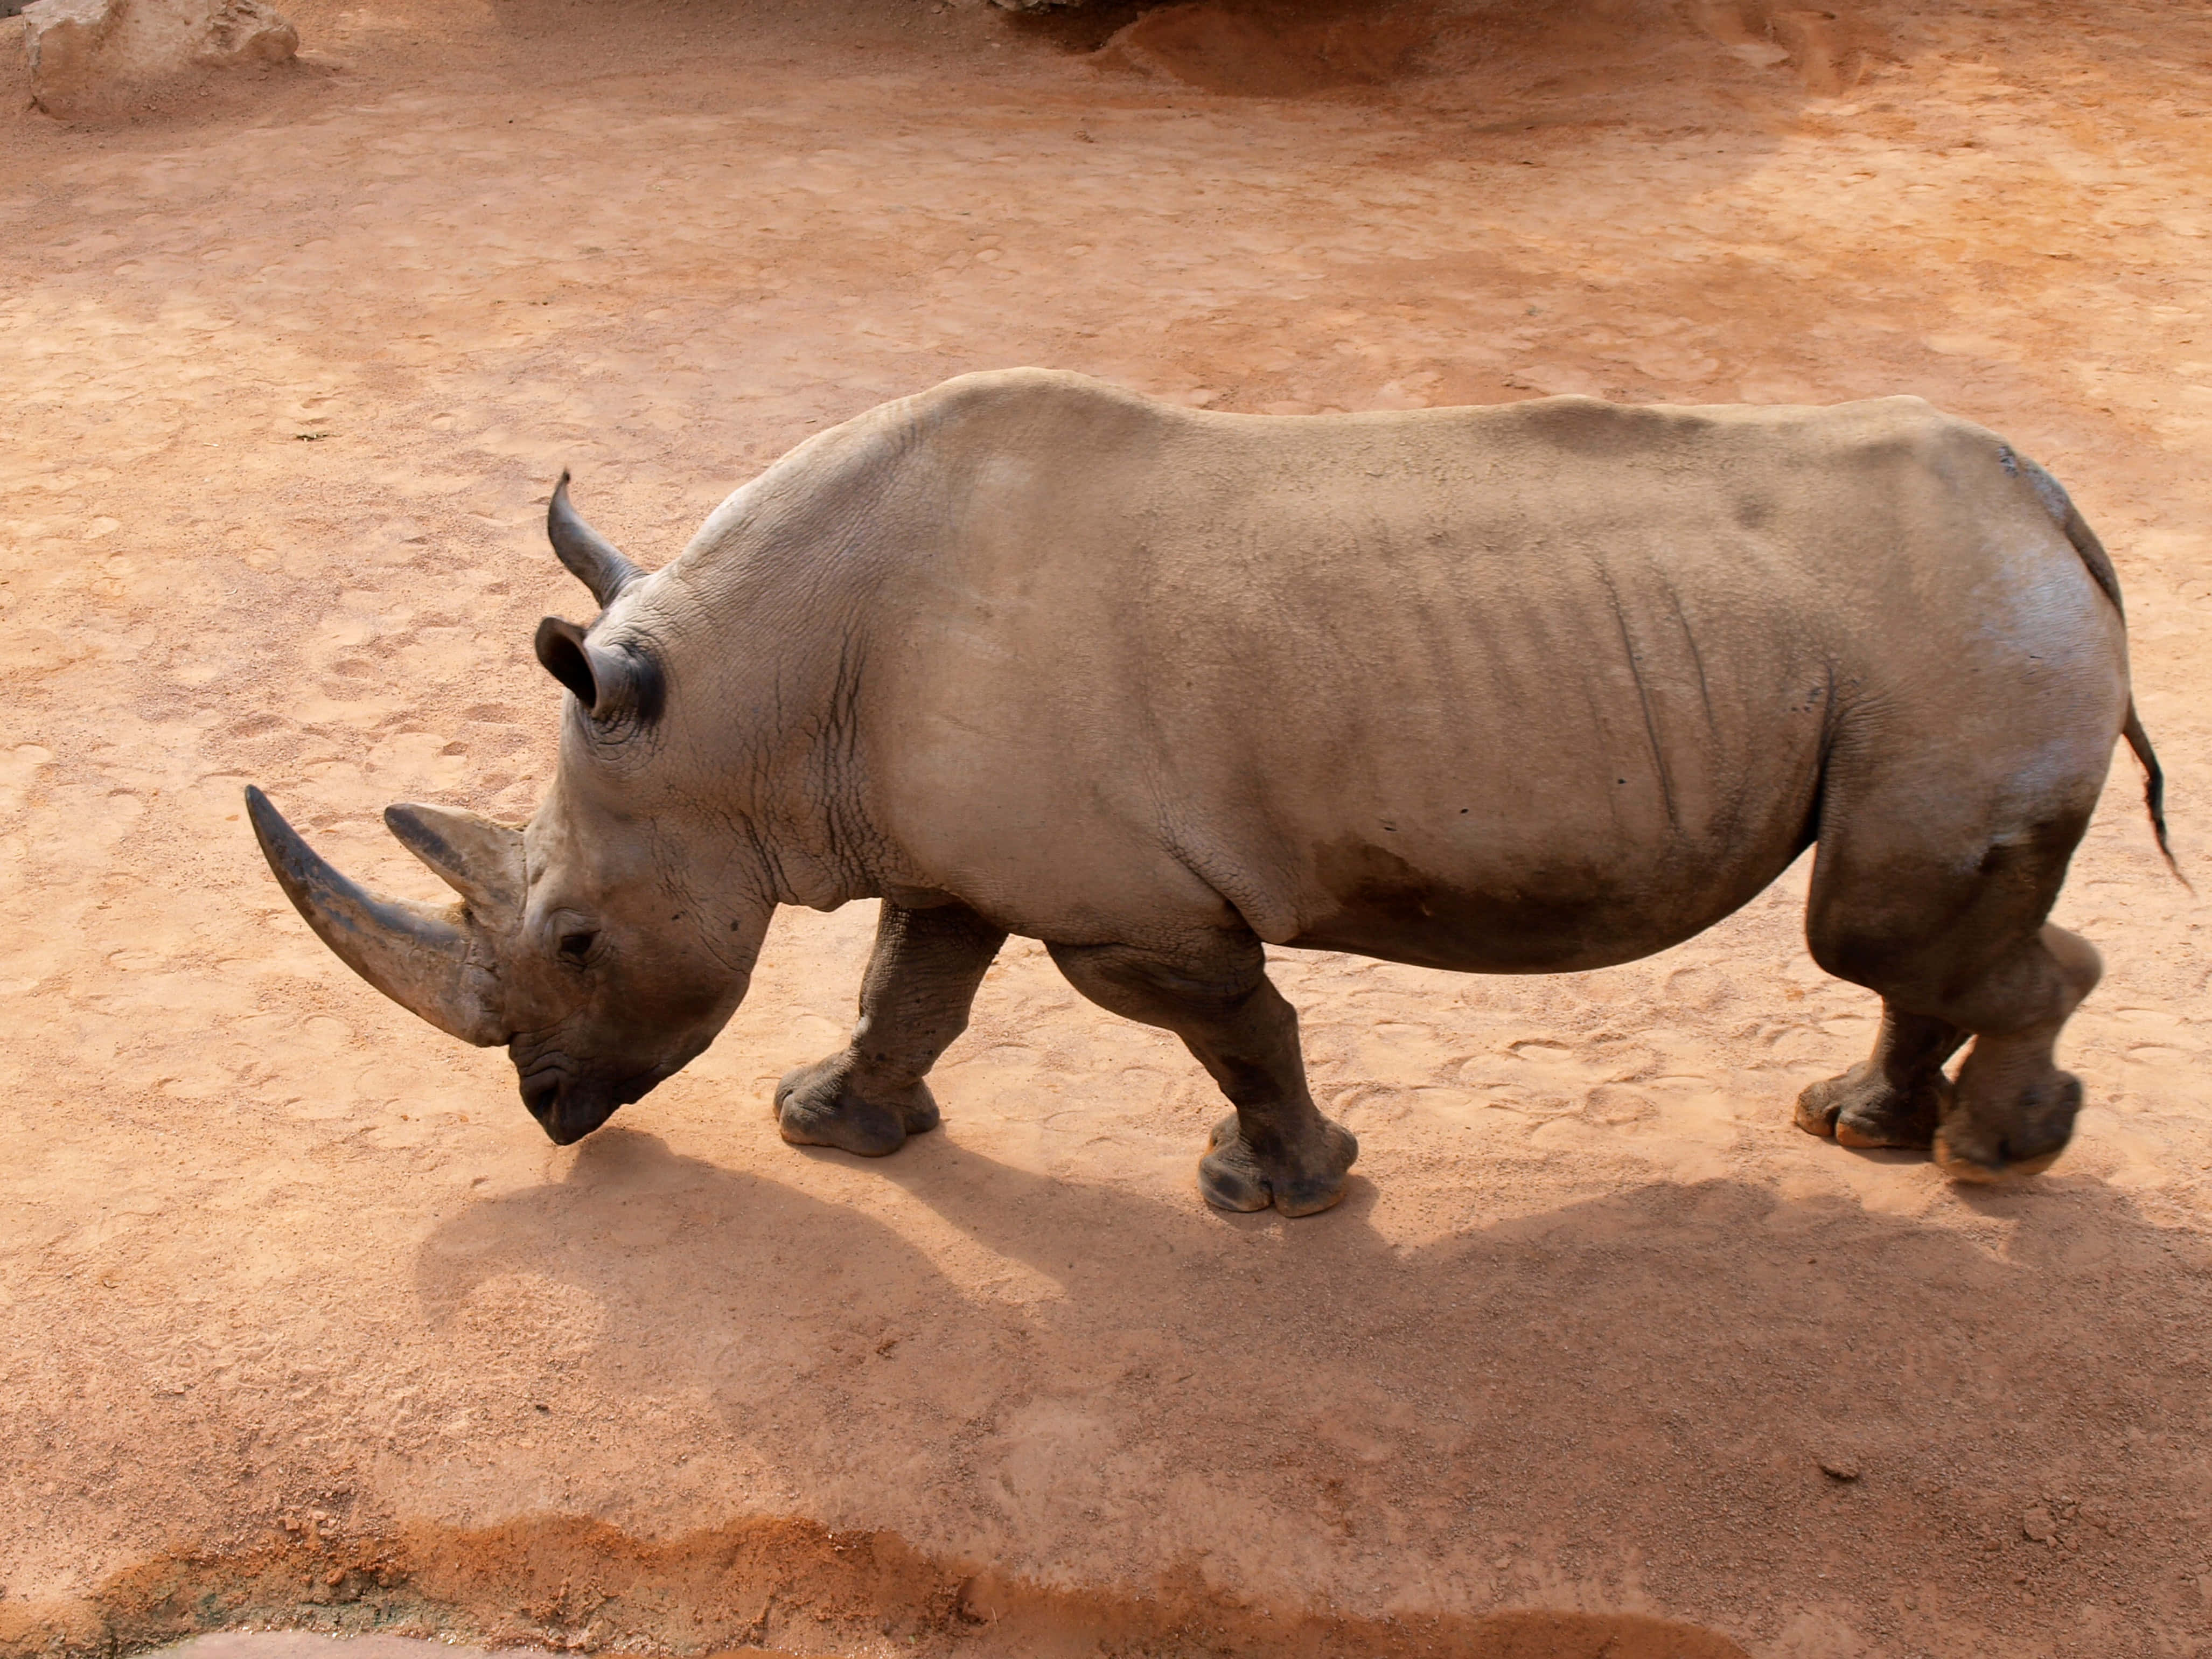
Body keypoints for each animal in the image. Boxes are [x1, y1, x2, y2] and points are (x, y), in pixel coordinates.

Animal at [247, 369, 2178, 1215]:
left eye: (575, 937)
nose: (549, 1113)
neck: (748, 706)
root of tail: (2054, 511)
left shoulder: (1131, 909)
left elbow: (1233, 1025)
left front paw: (1281, 1189)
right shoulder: (948, 854)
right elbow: (907, 987)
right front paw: (832, 1127)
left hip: (1962, 634)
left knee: (1887, 924)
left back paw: (1993, 1158)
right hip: (1949, 632)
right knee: (1903, 931)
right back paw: (1866, 1130)